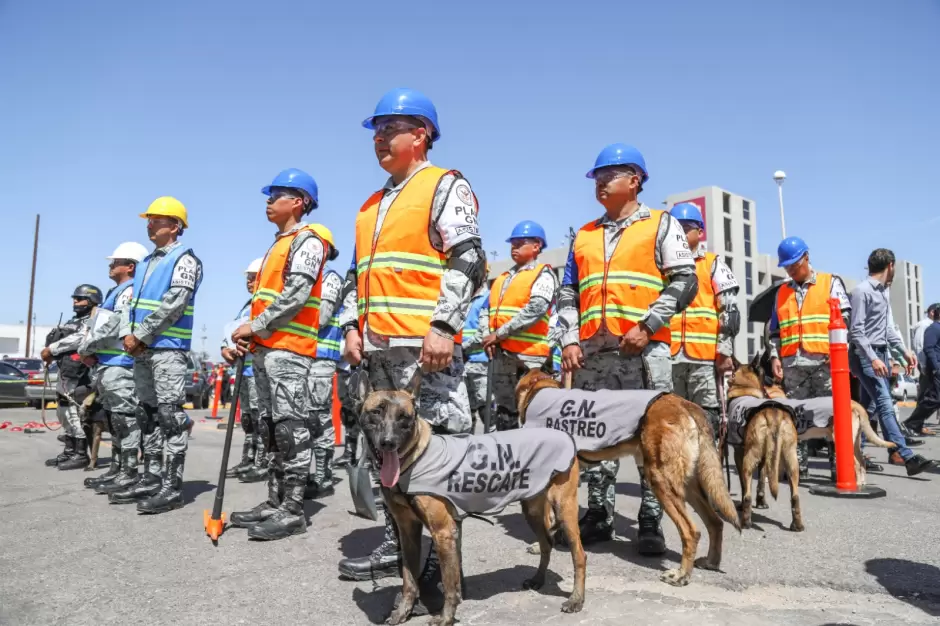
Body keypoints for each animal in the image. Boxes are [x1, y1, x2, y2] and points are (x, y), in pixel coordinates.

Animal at [360, 370, 588, 624]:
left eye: (404, 417)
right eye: (376, 412)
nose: (388, 442)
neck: (415, 458)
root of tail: (563, 433)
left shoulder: (443, 532)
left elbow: (450, 584)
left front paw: (446, 617)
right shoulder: (408, 531)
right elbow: (409, 580)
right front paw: (403, 611)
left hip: (564, 509)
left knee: (579, 555)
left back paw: (576, 599)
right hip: (533, 511)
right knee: (546, 544)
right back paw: (539, 579)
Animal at [516, 366, 740, 584]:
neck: (539, 388)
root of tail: (683, 403)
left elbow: (547, 517)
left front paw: (542, 543)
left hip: (660, 479)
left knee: (691, 531)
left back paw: (681, 575)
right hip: (687, 485)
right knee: (715, 522)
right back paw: (711, 562)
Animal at [728, 364, 896, 528]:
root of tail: (855, 403)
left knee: (855, 464)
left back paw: (856, 484)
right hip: (854, 442)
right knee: (861, 462)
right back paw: (862, 483)